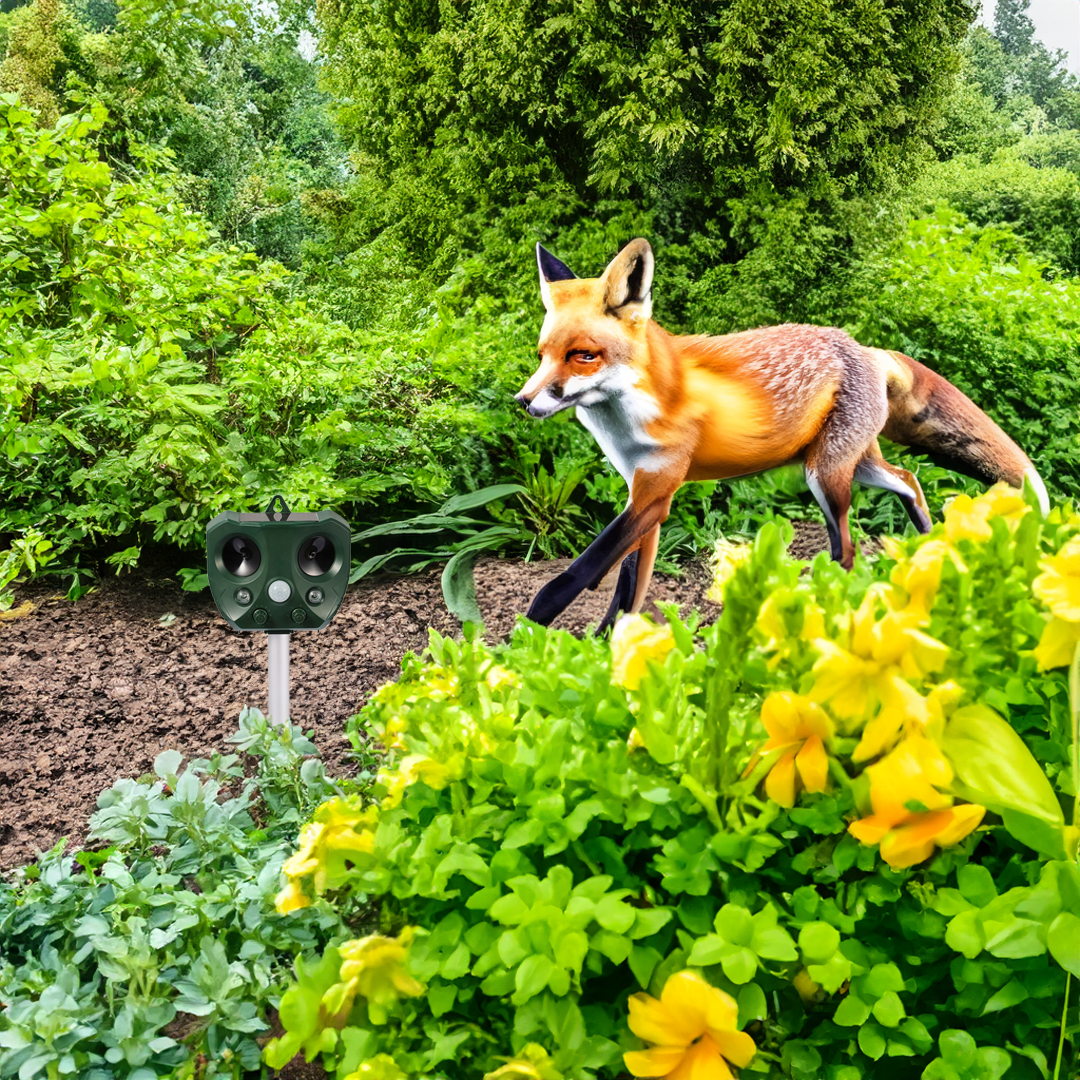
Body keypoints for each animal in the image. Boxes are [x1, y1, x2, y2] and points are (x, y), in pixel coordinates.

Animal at [518, 236, 1049, 626]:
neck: (629, 416)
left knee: (848, 548)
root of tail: (867, 348)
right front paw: (608, 652)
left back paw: (829, 603)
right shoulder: (642, 492)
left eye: (583, 355)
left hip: (825, 474)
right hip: (852, 462)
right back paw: (928, 544)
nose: (522, 400)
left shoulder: (658, 492)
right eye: (542, 355)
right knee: (909, 480)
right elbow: (628, 588)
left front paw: (529, 641)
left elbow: (572, 577)